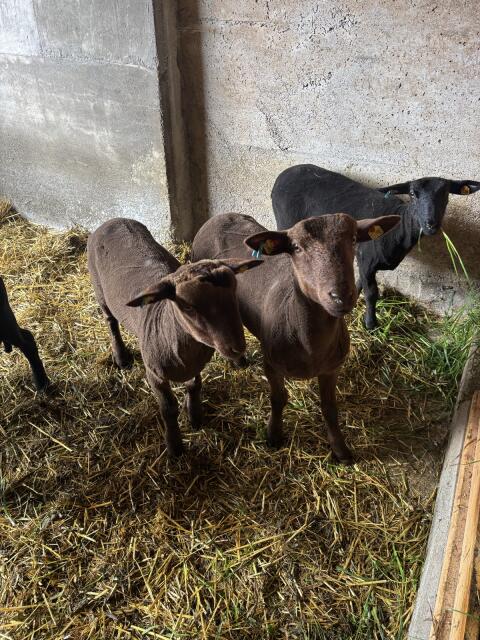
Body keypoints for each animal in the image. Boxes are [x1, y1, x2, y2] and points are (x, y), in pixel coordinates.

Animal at [87, 218, 262, 456]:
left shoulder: (194, 365)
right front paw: (175, 447)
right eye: (188, 306)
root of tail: (113, 220)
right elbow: (168, 408)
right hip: (99, 291)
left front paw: (195, 417)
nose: (237, 348)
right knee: (111, 321)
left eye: (234, 292)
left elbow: (194, 385)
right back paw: (121, 357)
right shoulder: (154, 374)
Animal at [192, 212, 400, 463]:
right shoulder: (271, 364)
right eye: (297, 248)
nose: (340, 296)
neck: (310, 345)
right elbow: (278, 399)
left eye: (352, 239)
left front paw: (341, 451)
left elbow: (329, 407)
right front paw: (273, 436)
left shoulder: (332, 368)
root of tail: (221, 216)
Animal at [271, 164, 480, 329]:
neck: (398, 226)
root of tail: (283, 173)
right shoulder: (367, 260)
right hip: (286, 223)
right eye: (413, 194)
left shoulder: (362, 259)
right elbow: (372, 293)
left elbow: (359, 283)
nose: (431, 224)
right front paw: (371, 324)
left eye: (446, 194)